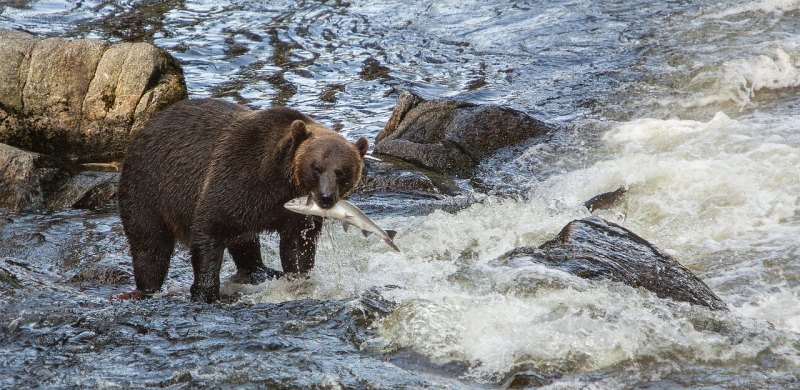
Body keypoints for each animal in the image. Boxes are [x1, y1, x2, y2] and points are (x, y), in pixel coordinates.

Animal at [117, 96, 368, 302]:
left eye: (342, 172)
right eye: (316, 168)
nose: (326, 197)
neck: (281, 181)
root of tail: (146, 127)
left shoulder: (294, 214)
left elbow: (298, 246)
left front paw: (298, 277)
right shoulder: (240, 175)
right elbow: (209, 227)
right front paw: (205, 292)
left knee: (245, 240)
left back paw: (260, 270)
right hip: (148, 186)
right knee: (149, 241)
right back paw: (147, 286)